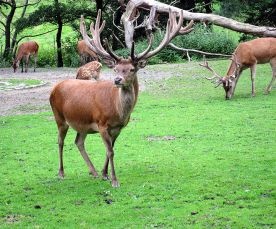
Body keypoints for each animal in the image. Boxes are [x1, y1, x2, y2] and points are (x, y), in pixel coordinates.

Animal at [49, 9, 192, 188]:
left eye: (131, 69)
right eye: (116, 69)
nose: (117, 80)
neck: (117, 112)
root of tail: (54, 88)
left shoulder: (118, 128)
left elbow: (110, 149)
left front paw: (105, 174)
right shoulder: (102, 124)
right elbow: (110, 151)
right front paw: (115, 180)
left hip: (82, 123)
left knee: (78, 141)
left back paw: (93, 172)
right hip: (59, 117)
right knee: (60, 141)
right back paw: (61, 173)